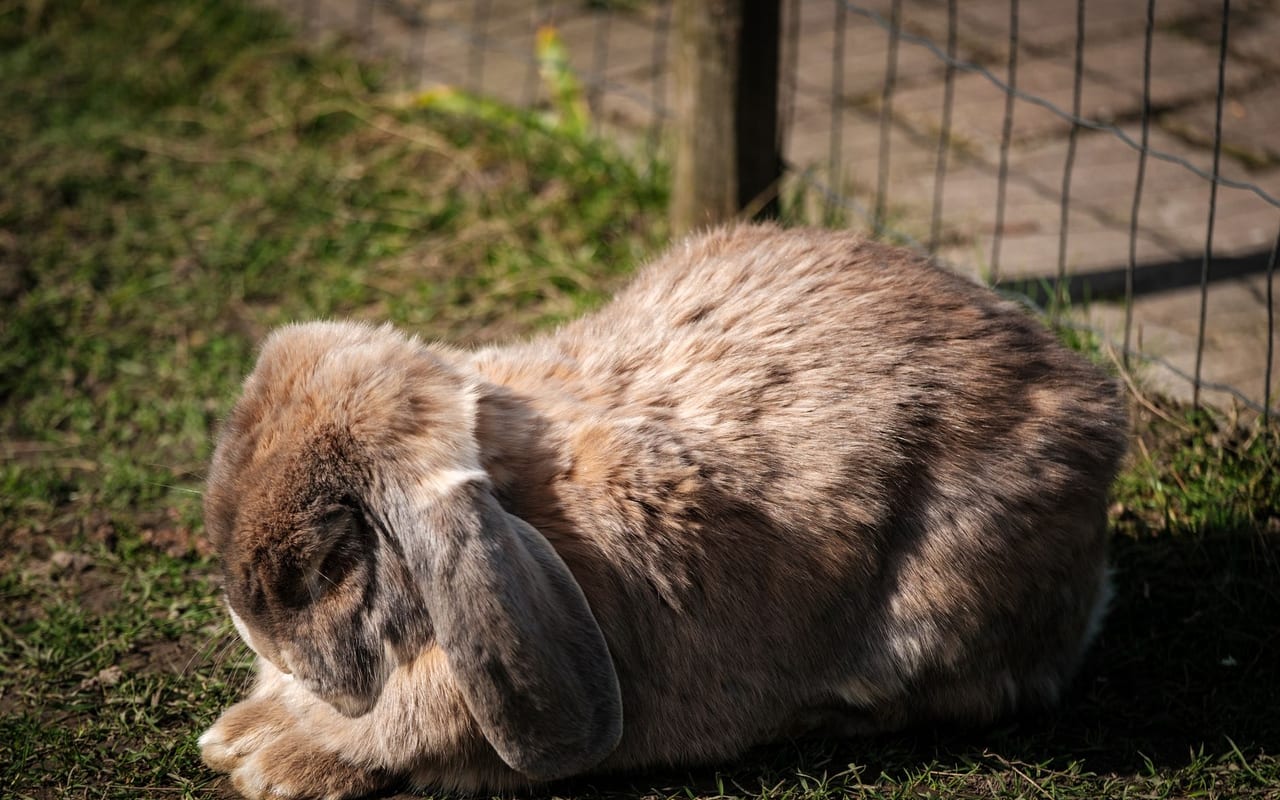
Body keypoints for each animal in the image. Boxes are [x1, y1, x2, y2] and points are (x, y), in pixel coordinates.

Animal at [198, 224, 1128, 800]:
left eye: (327, 563)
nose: (252, 634)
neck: (529, 504)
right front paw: (239, 737)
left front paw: (266, 759)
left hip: (937, 607)